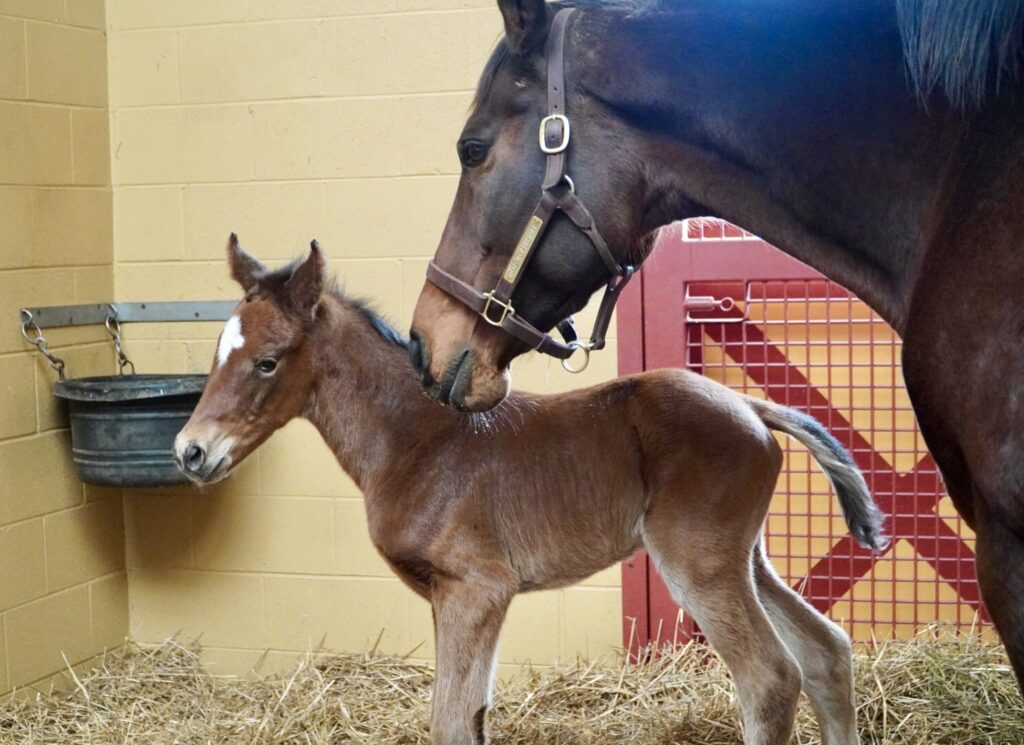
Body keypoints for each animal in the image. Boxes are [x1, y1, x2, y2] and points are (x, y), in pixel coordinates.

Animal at [175, 236, 886, 745]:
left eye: (268, 361)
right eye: (216, 354)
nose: (190, 451)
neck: (417, 441)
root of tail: (751, 405)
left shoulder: (476, 588)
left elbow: (451, 722)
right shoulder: (453, 597)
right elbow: (474, 716)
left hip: (699, 563)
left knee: (769, 680)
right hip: (745, 558)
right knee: (826, 651)